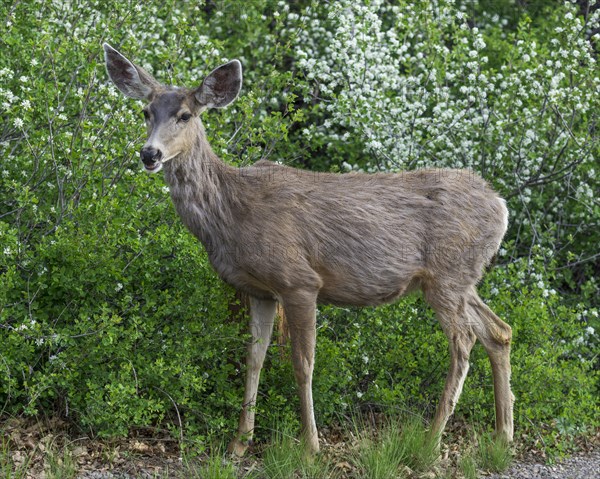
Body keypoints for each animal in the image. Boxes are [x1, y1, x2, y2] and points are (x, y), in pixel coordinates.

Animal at [104, 43, 516, 456]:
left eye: (185, 115)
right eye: (146, 112)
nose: (150, 154)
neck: (232, 213)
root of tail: (501, 206)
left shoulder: (299, 281)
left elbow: (303, 364)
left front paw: (311, 446)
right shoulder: (260, 291)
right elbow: (254, 359)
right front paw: (239, 442)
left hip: (447, 275)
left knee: (464, 341)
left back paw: (431, 439)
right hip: (461, 279)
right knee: (499, 330)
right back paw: (503, 434)